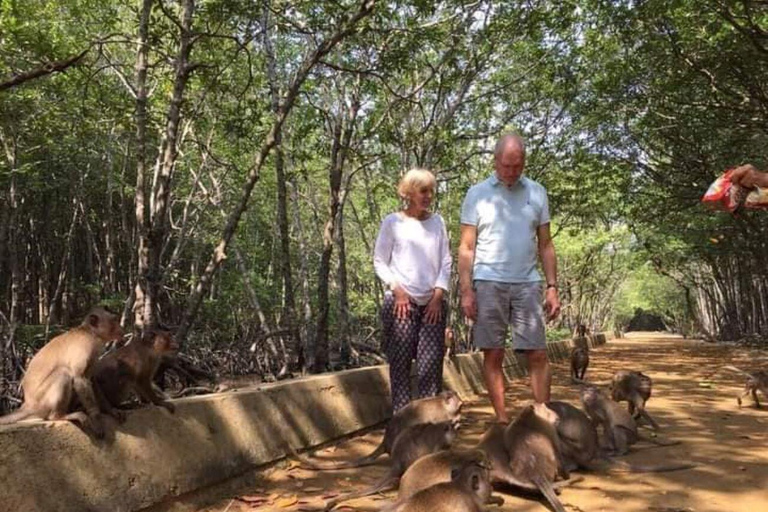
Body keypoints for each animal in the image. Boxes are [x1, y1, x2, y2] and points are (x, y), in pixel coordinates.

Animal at [0, 306, 123, 438]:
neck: (90, 333)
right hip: (41, 402)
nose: (121, 328)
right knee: (63, 373)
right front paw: (96, 417)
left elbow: (91, 380)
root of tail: (27, 404)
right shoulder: (85, 347)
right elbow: (80, 379)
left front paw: (111, 410)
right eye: (114, 320)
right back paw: (60, 416)